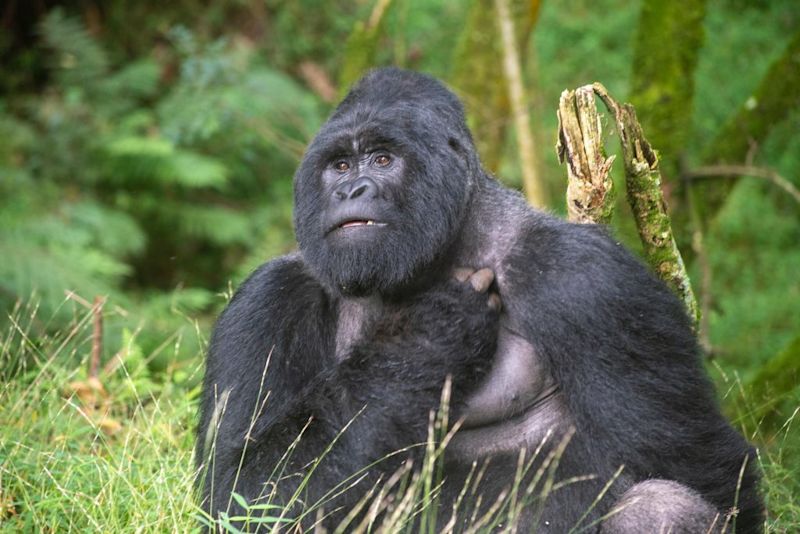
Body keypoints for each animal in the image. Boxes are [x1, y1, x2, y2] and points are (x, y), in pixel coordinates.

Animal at [197, 69, 764, 532]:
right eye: (338, 166)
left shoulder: (587, 279)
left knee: (662, 506)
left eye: (382, 159)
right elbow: (240, 490)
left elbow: (710, 475)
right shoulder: (266, 300)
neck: (442, 253)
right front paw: (428, 334)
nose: (350, 191)